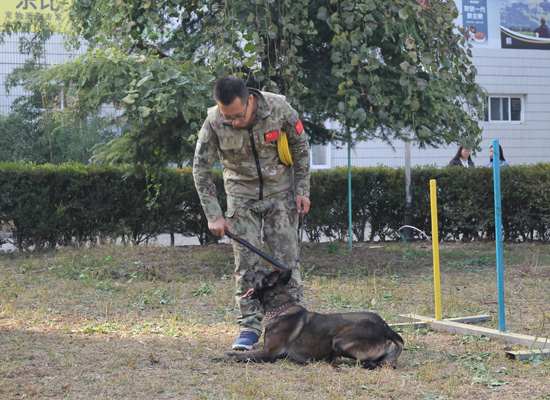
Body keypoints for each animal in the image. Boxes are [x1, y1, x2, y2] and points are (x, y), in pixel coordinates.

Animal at [216, 268, 406, 368]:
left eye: (254, 274)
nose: (242, 273)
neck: (280, 308)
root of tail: (387, 329)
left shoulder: (269, 353)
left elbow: (241, 357)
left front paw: (222, 358)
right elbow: (240, 355)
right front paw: (227, 353)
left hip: (339, 340)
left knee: (370, 364)